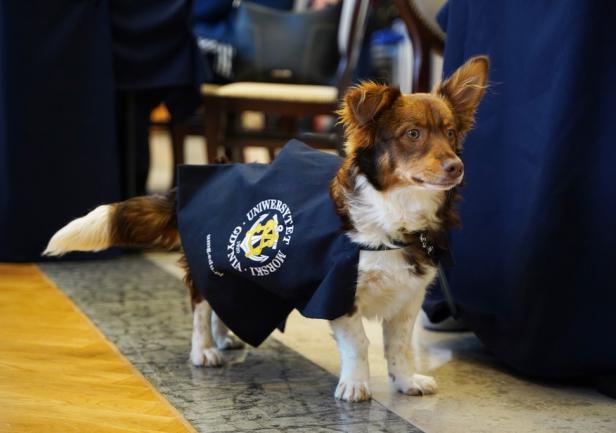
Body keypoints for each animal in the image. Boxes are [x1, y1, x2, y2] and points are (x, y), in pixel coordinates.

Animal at [44, 55, 488, 402]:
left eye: (451, 133)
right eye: (412, 134)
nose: (457, 167)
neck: (395, 213)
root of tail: (195, 179)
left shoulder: (408, 296)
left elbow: (398, 346)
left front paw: (405, 381)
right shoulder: (337, 291)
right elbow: (359, 343)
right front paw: (355, 385)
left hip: (243, 278)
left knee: (224, 304)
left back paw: (224, 337)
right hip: (211, 267)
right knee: (200, 305)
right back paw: (204, 350)